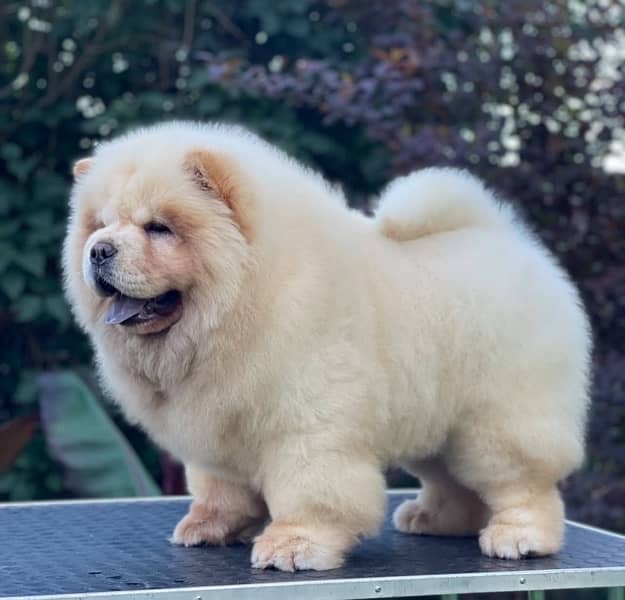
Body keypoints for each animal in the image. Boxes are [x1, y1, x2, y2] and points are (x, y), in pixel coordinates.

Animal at [63, 122, 588, 572]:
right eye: (100, 224)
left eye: (158, 228)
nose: (99, 250)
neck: (245, 301)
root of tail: (504, 239)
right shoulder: (219, 425)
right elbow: (220, 488)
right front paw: (210, 527)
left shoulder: (307, 424)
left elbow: (309, 490)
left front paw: (293, 546)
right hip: (437, 422)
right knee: (451, 482)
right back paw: (432, 521)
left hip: (496, 422)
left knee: (523, 483)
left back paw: (519, 536)